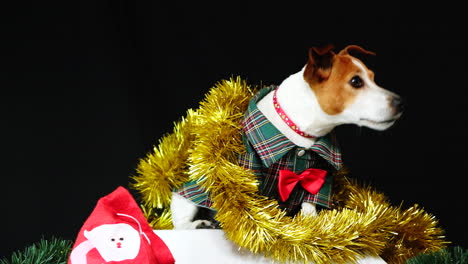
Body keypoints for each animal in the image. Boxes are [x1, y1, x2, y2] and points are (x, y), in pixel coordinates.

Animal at [171, 44, 402, 229]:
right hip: (191, 192)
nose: (400, 102)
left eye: (373, 78)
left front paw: (312, 226)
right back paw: (198, 224)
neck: (299, 131)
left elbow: (311, 200)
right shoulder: (246, 169)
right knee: (181, 221)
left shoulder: (320, 174)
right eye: (355, 81)